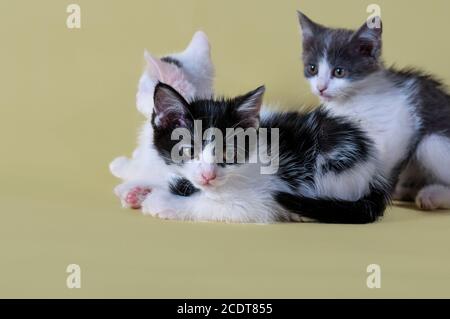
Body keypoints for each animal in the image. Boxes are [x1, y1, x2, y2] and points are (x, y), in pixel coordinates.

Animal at [141, 82, 390, 225]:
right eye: (188, 150)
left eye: (229, 152)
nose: (208, 175)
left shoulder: (256, 200)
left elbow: (213, 205)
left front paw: (162, 203)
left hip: (334, 163)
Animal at [298, 12, 450, 211]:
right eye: (312, 68)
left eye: (339, 71)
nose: (321, 88)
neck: (352, 100)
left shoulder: (400, 127)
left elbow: (386, 163)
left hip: (432, 143)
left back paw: (431, 195)